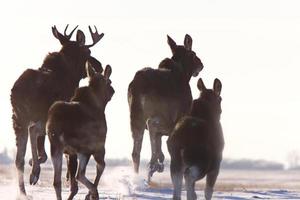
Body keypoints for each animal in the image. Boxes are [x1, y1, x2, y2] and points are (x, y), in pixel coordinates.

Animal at [10, 23, 104, 195]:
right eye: (88, 52)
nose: (99, 65)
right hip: (39, 115)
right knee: (33, 132)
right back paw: (34, 172)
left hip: (17, 118)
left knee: (19, 158)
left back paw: (23, 191)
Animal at [47, 61, 113, 199]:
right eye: (109, 81)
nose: (112, 90)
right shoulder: (99, 146)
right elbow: (101, 166)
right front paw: (90, 194)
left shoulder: (69, 153)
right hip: (84, 148)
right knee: (80, 175)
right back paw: (94, 193)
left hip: (56, 147)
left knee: (57, 181)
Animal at [126, 33, 204, 180]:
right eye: (193, 54)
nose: (201, 65)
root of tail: (138, 85)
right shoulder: (178, 118)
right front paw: (159, 162)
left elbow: (159, 141)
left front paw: (159, 161)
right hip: (159, 114)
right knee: (152, 125)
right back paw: (153, 164)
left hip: (135, 116)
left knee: (135, 151)